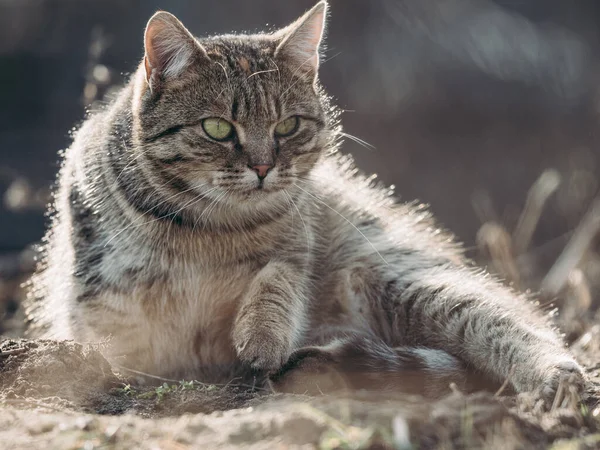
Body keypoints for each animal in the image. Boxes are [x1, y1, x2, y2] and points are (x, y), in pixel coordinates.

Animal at [25, 0, 584, 400]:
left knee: (514, 324)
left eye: (287, 126)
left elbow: (277, 281)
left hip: (412, 284)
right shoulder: (99, 288)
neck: (208, 226)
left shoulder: (296, 247)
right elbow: (120, 336)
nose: (263, 167)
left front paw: (262, 337)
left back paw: (555, 376)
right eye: (217, 128)